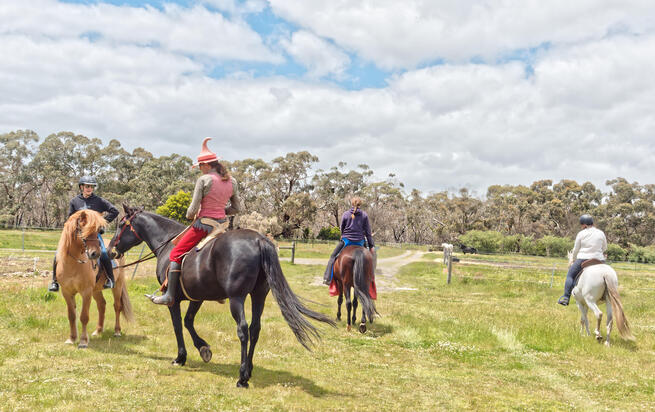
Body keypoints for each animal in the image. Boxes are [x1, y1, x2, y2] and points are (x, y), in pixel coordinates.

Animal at [56, 209, 133, 348]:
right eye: (83, 229)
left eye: (98, 231)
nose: (95, 254)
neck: (73, 264)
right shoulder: (67, 292)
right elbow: (72, 315)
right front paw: (72, 338)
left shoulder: (86, 292)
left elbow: (84, 316)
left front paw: (83, 341)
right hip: (96, 290)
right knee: (102, 305)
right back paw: (98, 331)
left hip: (117, 286)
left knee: (117, 306)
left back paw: (117, 331)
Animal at [110, 206, 336, 390]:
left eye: (121, 224)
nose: (112, 250)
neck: (168, 243)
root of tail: (259, 240)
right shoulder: (197, 298)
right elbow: (188, 321)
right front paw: (203, 348)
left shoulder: (174, 301)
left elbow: (177, 325)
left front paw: (181, 357)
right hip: (258, 296)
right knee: (255, 329)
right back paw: (249, 369)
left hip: (237, 298)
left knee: (243, 330)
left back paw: (242, 377)